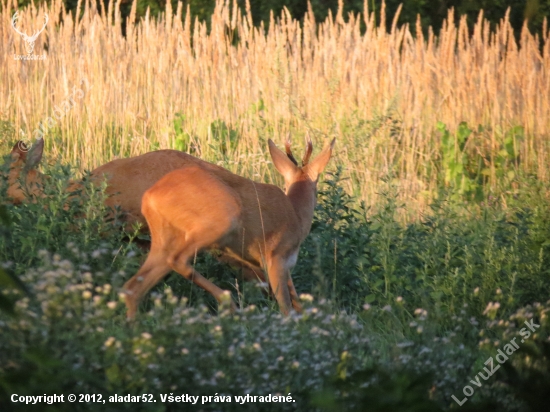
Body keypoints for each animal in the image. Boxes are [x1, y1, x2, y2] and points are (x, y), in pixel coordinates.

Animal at [123, 137, 336, 318]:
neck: (297, 215)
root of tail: (150, 196)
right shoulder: (274, 258)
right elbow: (287, 308)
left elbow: (298, 304)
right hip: (221, 220)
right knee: (178, 260)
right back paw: (230, 304)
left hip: (163, 239)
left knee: (132, 288)